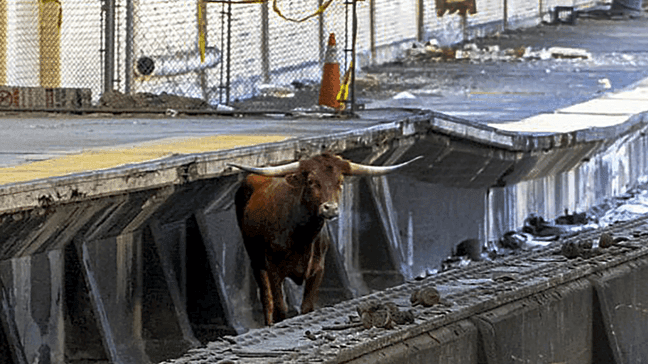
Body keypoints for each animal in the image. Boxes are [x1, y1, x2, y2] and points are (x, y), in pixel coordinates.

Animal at [230, 152, 422, 326]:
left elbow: (307, 308)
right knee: (266, 299)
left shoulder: (318, 269)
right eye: (311, 181)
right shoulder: (274, 268)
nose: (330, 208)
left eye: (340, 182)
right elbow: (280, 308)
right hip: (256, 260)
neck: (302, 236)